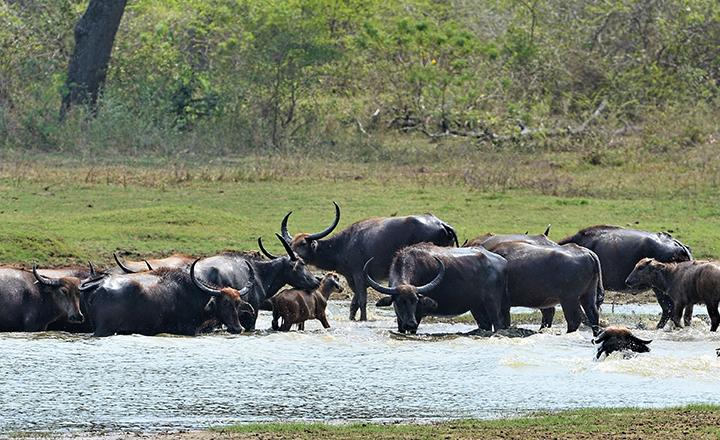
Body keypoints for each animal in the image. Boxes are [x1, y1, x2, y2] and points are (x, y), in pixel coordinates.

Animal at [278, 202, 458, 320]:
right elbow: (355, 302)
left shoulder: (359, 274)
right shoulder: (353, 278)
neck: (344, 244)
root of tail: (442, 223)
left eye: (303, 244)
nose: (290, 256)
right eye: (290, 244)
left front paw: (363, 320)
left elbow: (362, 300)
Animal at [362, 244, 510, 334]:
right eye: (399, 301)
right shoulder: (400, 318)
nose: (410, 323)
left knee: (498, 321)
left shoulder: (418, 314)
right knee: (485, 324)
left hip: (492, 302)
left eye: (416, 301)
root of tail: (502, 261)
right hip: (477, 306)